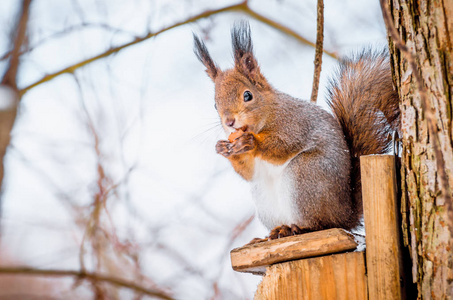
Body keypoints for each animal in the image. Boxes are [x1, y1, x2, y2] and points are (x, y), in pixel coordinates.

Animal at [192, 21, 398, 240]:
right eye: (215, 105)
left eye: (248, 95)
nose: (229, 121)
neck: (266, 117)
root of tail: (345, 214)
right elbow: (248, 172)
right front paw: (223, 149)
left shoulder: (295, 124)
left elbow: (284, 146)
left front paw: (251, 142)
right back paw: (276, 232)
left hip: (305, 176)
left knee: (322, 223)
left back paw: (299, 228)